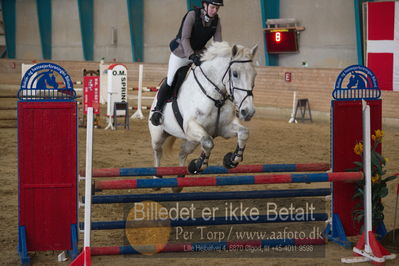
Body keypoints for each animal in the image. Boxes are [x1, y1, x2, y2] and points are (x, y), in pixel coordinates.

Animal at [148, 41, 258, 187]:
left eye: (254, 75)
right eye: (235, 74)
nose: (248, 112)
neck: (216, 98)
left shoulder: (225, 128)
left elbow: (244, 133)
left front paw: (232, 159)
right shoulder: (191, 126)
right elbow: (208, 142)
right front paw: (198, 165)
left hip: (191, 141)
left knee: (182, 153)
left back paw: (179, 180)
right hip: (158, 135)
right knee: (157, 151)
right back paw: (157, 178)